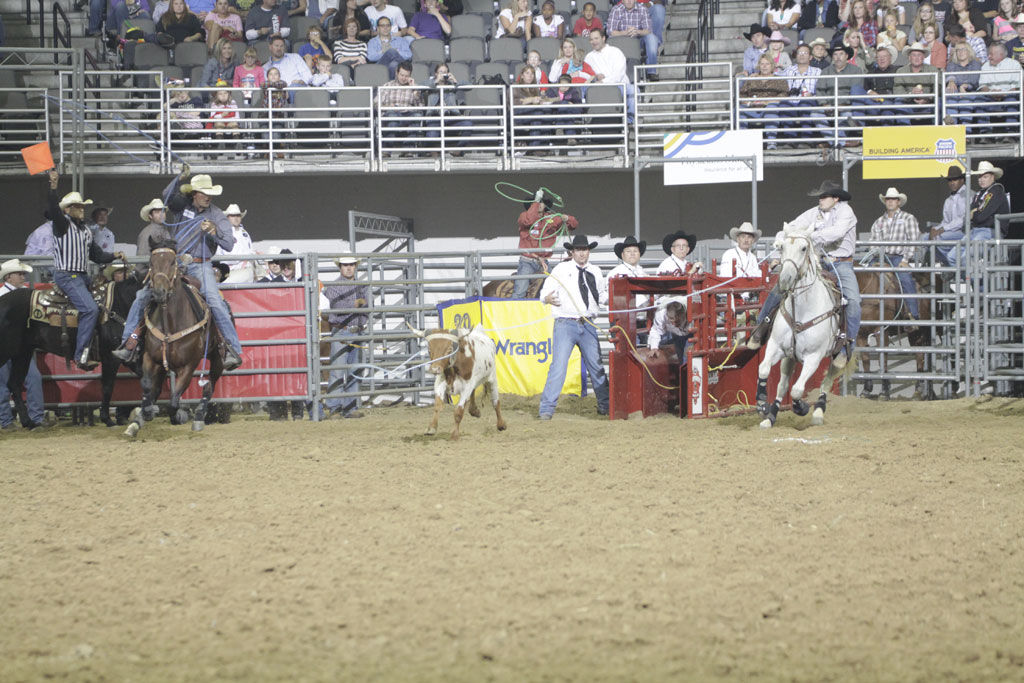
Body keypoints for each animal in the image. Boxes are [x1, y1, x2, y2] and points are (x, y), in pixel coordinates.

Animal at [0, 276, 141, 428]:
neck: (121, 304)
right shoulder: (111, 357)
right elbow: (108, 387)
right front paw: (107, 419)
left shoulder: (130, 356)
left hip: (22, 353)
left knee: (14, 384)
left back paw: (29, 423)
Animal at [122, 241, 223, 438]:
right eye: (151, 263)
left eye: (171, 262)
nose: (159, 292)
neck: (170, 322)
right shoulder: (150, 358)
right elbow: (148, 387)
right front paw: (143, 414)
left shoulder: (189, 366)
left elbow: (174, 401)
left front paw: (179, 416)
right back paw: (137, 421)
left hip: (217, 358)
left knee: (209, 385)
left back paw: (199, 417)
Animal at [757, 223, 843, 428]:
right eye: (781, 247)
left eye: (804, 248)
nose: (785, 279)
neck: (803, 310)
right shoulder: (776, 346)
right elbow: (763, 369)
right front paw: (763, 404)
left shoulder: (814, 357)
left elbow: (797, 390)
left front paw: (801, 407)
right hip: (790, 357)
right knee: (783, 384)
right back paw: (770, 417)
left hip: (840, 355)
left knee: (827, 380)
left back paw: (818, 412)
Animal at [856, 270, 937, 401]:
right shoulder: (860, 334)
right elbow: (865, 359)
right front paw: (866, 390)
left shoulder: (882, 332)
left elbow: (882, 360)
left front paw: (884, 392)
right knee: (919, 357)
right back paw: (919, 391)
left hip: (920, 332)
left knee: (920, 357)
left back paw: (920, 392)